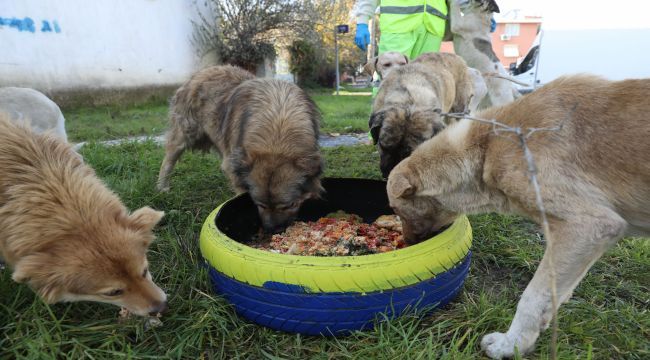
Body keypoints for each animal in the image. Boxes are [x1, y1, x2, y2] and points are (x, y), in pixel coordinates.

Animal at [155, 64, 322, 232]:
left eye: (288, 205)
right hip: (185, 134)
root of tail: (202, 71)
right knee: (168, 161)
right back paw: (162, 187)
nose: (270, 229)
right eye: (260, 204)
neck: (278, 130)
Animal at [384, 74, 648, 358]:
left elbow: (533, 297)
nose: (408, 245)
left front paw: (511, 345)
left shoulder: (587, 226)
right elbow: (554, 294)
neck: (490, 144)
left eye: (396, 210)